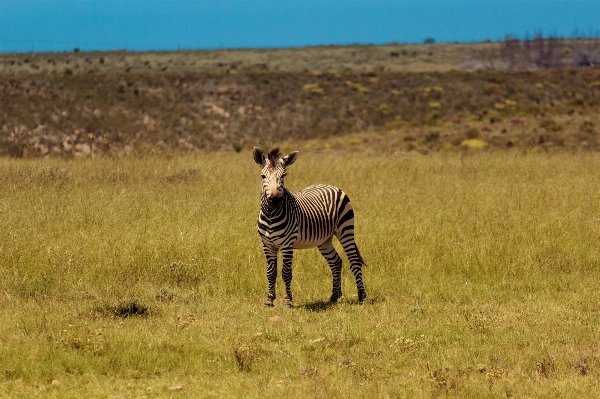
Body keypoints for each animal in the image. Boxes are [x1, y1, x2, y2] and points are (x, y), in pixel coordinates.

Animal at [252, 148, 366, 308]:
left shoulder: (287, 244)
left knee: (354, 261)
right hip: (324, 240)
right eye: (263, 176)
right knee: (336, 262)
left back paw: (361, 297)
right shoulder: (267, 245)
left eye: (283, 176)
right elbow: (271, 272)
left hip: (346, 230)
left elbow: (286, 273)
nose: (274, 200)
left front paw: (287, 301)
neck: (271, 215)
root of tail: (331, 186)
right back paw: (334, 296)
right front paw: (269, 300)